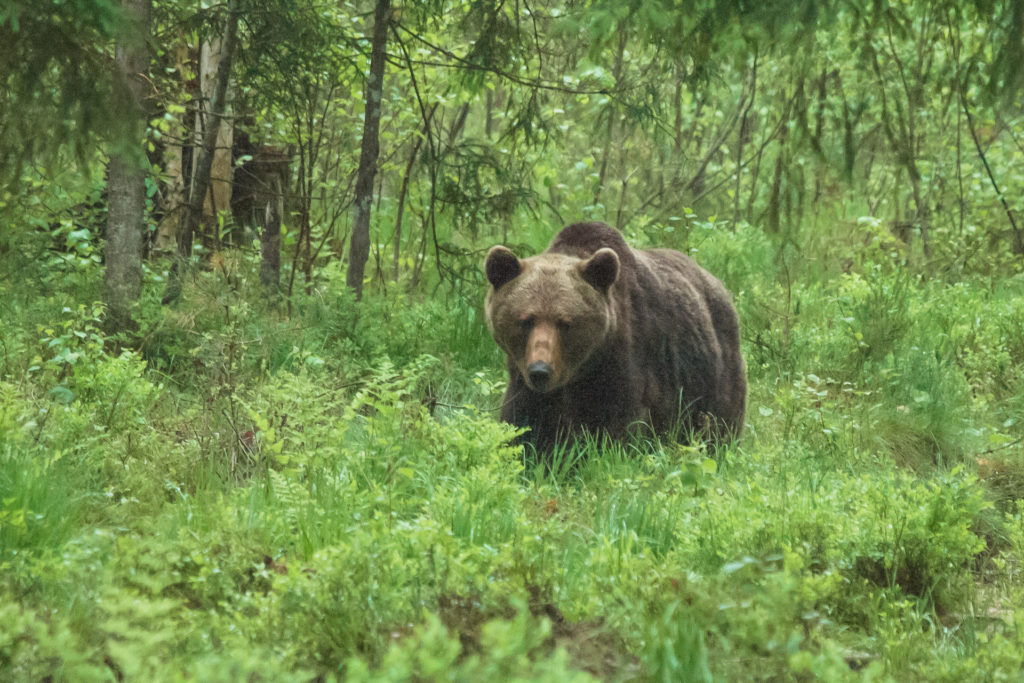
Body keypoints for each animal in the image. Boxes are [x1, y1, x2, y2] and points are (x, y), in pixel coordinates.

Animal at [483, 222, 749, 450]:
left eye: (565, 323)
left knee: (718, 424)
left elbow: (618, 427)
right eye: (526, 320)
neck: (580, 372)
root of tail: (718, 284)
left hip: (713, 373)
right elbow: (524, 425)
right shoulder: (523, 380)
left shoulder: (622, 365)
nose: (540, 371)